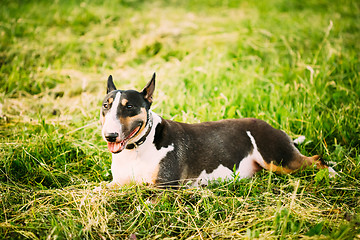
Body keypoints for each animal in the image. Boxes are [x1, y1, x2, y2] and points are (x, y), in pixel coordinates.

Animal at [100, 73, 334, 188]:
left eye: (129, 106)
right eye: (106, 105)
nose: (110, 136)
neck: (137, 149)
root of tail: (272, 127)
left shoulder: (164, 188)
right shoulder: (115, 183)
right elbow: (100, 188)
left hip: (278, 160)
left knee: (317, 160)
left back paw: (333, 175)